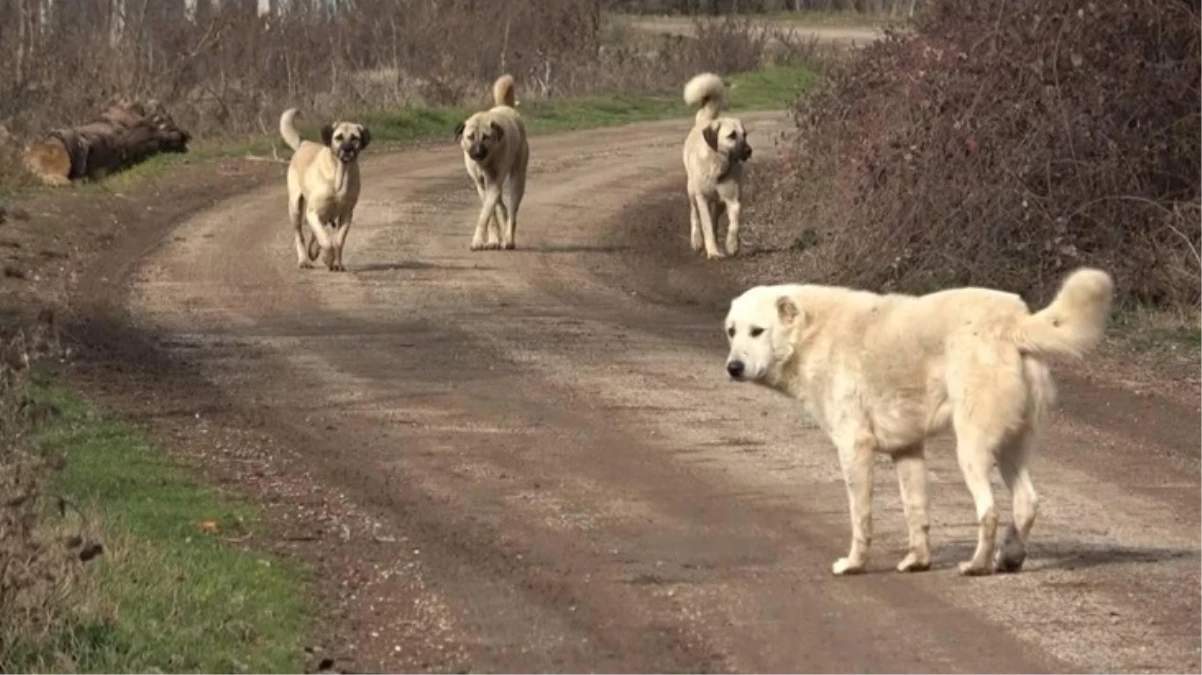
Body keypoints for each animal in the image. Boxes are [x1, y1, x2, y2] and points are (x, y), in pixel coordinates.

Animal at [451, 73, 528, 251]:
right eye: (470, 137)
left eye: (486, 137)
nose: (478, 153)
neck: (485, 162)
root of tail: (507, 108)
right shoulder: (482, 185)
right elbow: (490, 215)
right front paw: (492, 240)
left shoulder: (493, 184)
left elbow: (484, 214)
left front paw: (478, 240)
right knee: (502, 207)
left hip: (517, 179)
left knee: (512, 211)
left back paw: (508, 239)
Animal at [687, 72, 750, 258]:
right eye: (731, 135)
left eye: (745, 134)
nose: (749, 151)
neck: (718, 166)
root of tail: (706, 120)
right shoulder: (702, 198)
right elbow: (706, 225)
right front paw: (713, 252)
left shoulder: (733, 200)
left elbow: (734, 224)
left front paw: (731, 245)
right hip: (691, 191)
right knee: (694, 215)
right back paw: (697, 240)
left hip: (719, 203)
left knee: (715, 218)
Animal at [721, 266, 1115, 571]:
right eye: (731, 331)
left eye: (757, 331)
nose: (733, 368)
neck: (812, 334)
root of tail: (1013, 321)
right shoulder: (907, 450)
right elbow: (917, 512)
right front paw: (918, 562)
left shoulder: (854, 448)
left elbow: (860, 517)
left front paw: (854, 564)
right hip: (1010, 448)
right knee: (1027, 503)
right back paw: (1010, 558)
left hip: (971, 450)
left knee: (990, 511)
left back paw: (976, 566)